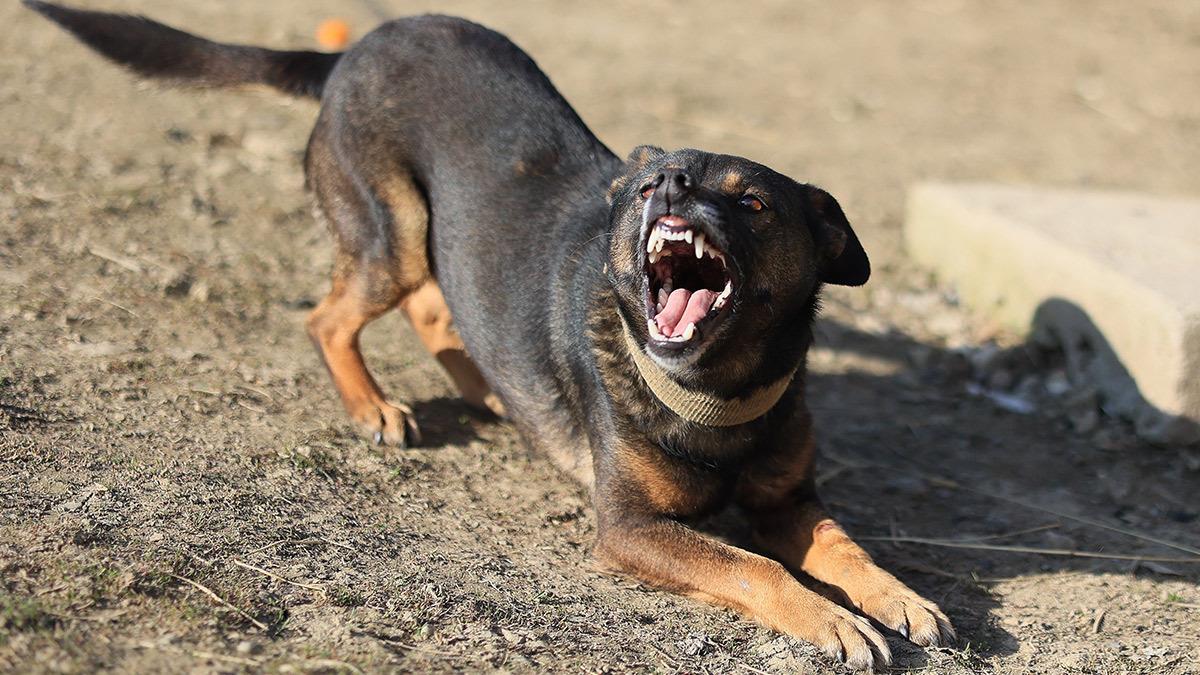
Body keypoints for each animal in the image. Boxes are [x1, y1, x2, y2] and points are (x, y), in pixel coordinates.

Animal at [30, 2, 955, 667]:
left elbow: (846, 547)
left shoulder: (791, 501)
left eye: (753, 201)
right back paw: (372, 405)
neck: (712, 390)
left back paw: (491, 389)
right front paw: (834, 621)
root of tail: (354, 50)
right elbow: (752, 564)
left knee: (440, 309)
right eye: (652, 184)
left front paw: (901, 596)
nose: (670, 186)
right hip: (395, 232)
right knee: (332, 315)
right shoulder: (629, 529)